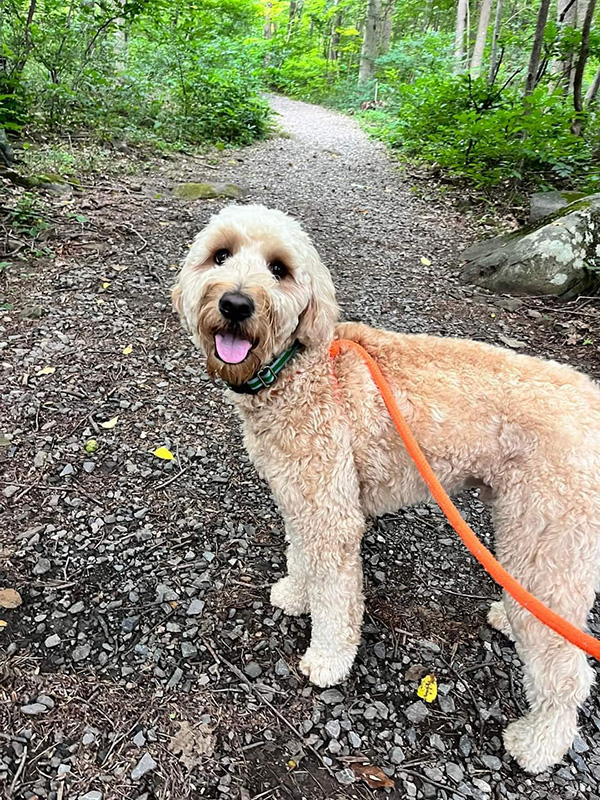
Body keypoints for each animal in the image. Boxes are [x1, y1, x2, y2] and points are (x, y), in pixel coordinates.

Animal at [172, 205, 600, 776]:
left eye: (279, 269)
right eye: (220, 256)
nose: (236, 303)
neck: (298, 370)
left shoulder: (331, 512)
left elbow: (337, 600)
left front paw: (327, 660)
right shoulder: (302, 498)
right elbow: (300, 556)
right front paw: (295, 593)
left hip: (551, 540)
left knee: (568, 671)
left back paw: (538, 745)